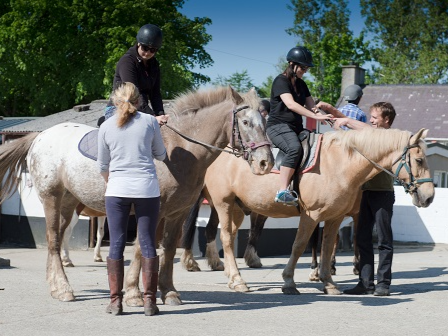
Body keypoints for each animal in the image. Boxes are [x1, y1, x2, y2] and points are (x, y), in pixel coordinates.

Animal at [0, 86, 272, 302]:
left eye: (265, 122)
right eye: (246, 123)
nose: (265, 163)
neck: (179, 151)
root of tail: (40, 136)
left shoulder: (178, 212)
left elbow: (168, 249)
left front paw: (168, 292)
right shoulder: (152, 209)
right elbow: (142, 249)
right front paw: (133, 293)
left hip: (68, 203)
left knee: (55, 240)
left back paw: (56, 286)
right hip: (52, 199)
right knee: (54, 240)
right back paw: (64, 289)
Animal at [182, 128, 434, 294]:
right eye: (419, 160)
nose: (429, 196)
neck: (339, 164)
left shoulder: (335, 217)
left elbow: (327, 246)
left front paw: (328, 282)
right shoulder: (311, 215)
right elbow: (300, 245)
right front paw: (289, 282)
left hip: (236, 208)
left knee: (230, 236)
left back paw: (231, 278)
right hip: (223, 204)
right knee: (224, 238)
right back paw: (237, 280)